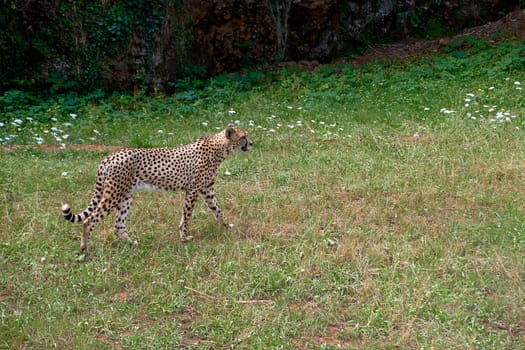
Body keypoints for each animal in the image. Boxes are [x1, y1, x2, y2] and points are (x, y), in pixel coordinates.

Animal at [60, 124, 253, 253]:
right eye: (243, 136)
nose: (252, 143)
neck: (220, 148)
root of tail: (111, 156)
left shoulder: (207, 190)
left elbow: (217, 210)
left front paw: (227, 226)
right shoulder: (193, 190)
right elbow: (187, 216)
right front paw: (184, 237)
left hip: (126, 197)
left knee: (118, 225)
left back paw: (132, 244)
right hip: (113, 194)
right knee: (90, 219)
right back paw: (85, 248)